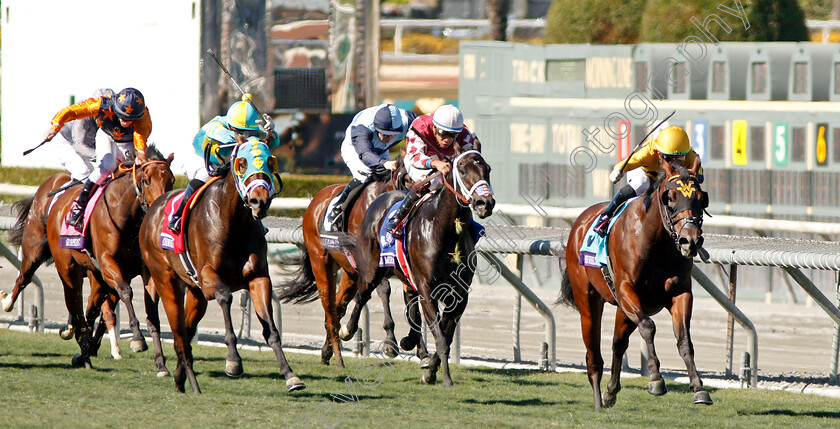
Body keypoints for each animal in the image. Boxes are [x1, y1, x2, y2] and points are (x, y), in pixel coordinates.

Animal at [2, 145, 174, 366]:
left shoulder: (139, 270)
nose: (160, 210)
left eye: (171, 180)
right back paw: (8, 303)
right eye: (146, 180)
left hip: (94, 275)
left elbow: (144, 309)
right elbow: (125, 293)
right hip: (43, 254)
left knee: (89, 308)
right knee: (27, 277)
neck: (125, 215)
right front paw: (136, 339)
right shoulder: (108, 263)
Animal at [139, 136, 304, 392]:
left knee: (186, 332)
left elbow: (271, 329)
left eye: (270, 161)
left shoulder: (258, 278)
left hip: (195, 293)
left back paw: (180, 377)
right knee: (177, 330)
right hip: (165, 280)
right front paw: (233, 361)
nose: (259, 201)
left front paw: (290, 375)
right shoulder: (208, 276)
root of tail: (153, 207)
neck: (233, 222)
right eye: (242, 163)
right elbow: (226, 297)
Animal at [280, 154, 426, 368]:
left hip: (350, 273)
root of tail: (316, 199)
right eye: (406, 179)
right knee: (330, 306)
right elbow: (385, 290)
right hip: (321, 261)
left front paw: (421, 348)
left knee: (338, 307)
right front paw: (390, 342)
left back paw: (327, 351)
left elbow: (413, 301)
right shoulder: (372, 262)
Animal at [346, 149, 492, 386]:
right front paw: (446, 379)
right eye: (462, 170)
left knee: (408, 304)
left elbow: (446, 336)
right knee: (362, 295)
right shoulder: (427, 287)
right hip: (371, 269)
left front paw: (430, 372)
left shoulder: (459, 295)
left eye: (487, 169)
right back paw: (347, 330)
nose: (484, 203)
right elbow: (440, 337)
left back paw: (409, 340)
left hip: (406, 275)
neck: (446, 232)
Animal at [560, 162, 712, 406]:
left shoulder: (680, 293)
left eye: (700, 198)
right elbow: (649, 327)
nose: (690, 240)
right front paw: (656, 380)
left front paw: (699, 387)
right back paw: (598, 401)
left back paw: (610, 391)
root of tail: (579, 224)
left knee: (618, 342)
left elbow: (684, 340)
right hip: (588, 299)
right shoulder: (626, 289)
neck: (657, 244)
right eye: (670, 198)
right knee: (593, 355)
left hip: (624, 310)